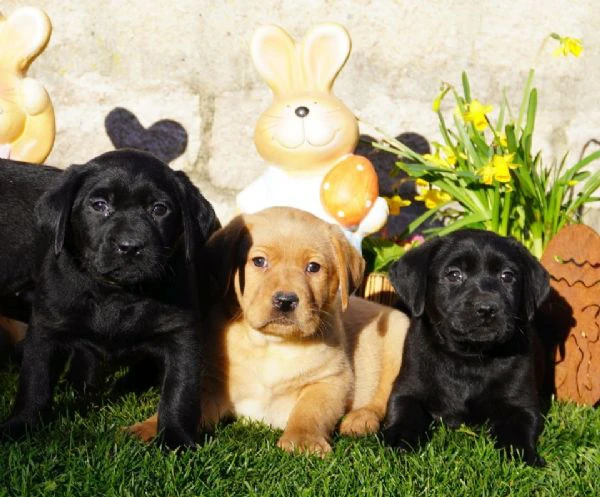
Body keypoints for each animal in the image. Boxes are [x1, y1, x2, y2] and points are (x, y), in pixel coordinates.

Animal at [0, 149, 219, 448]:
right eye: (99, 205)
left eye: (159, 209)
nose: (129, 246)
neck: (116, 294)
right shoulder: (47, 327)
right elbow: (35, 381)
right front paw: (20, 425)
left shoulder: (181, 333)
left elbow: (180, 391)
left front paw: (175, 440)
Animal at [382, 229, 552, 464]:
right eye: (454, 275)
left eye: (507, 276)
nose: (487, 308)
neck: (468, 358)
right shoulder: (407, 388)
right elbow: (405, 412)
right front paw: (398, 439)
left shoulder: (521, 403)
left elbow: (518, 428)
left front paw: (521, 455)